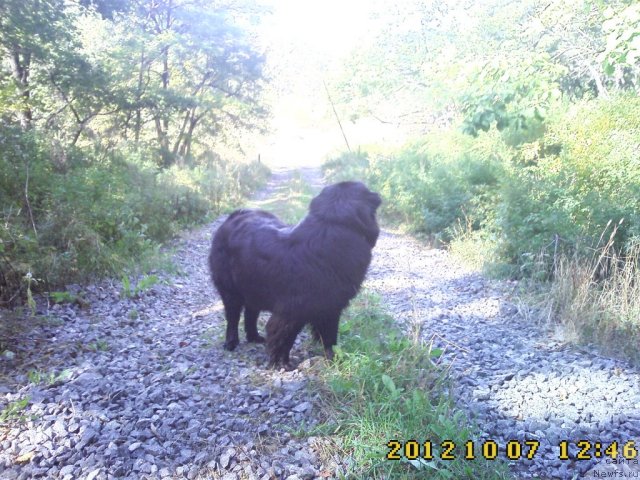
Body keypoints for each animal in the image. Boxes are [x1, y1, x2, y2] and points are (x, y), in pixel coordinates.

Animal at [209, 180, 380, 368]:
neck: (332, 226)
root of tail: (234, 216)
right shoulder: (291, 311)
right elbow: (283, 337)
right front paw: (281, 363)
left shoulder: (330, 306)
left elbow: (329, 335)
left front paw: (332, 357)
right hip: (231, 290)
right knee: (232, 317)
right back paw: (231, 343)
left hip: (253, 286)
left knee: (250, 312)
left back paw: (254, 337)